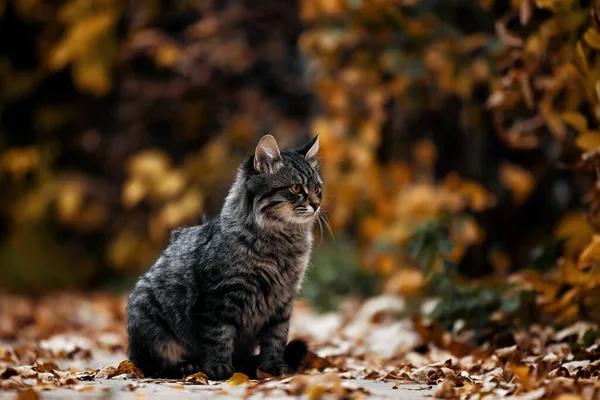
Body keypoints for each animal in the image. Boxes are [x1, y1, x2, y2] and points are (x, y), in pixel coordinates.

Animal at [125, 135, 324, 382]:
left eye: (318, 188)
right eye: (296, 188)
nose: (316, 204)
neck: (281, 244)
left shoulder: (283, 300)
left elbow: (275, 338)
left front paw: (273, 369)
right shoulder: (218, 299)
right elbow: (218, 337)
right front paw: (218, 368)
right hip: (150, 325)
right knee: (152, 366)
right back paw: (186, 367)